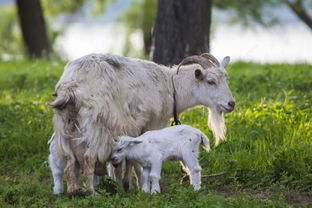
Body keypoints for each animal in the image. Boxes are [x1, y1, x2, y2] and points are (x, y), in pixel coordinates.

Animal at [50, 52, 234, 194]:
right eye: (210, 81)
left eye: (226, 78)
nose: (231, 104)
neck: (171, 86)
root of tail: (71, 88)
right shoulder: (150, 124)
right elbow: (136, 160)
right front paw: (139, 186)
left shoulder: (129, 129)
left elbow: (126, 160)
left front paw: (125, 183)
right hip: (96, 127)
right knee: (88, 158)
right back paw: (92, 193)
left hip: (65, 126)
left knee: (69, 161)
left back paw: (73, 191)